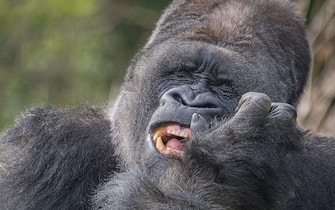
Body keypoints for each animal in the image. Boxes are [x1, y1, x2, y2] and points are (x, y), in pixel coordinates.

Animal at [0, 0, 335, 209]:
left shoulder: (324, 167)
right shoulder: (41, 149)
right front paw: (222, 170)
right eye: (182, 73)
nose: (191, 100)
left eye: (224, 86)